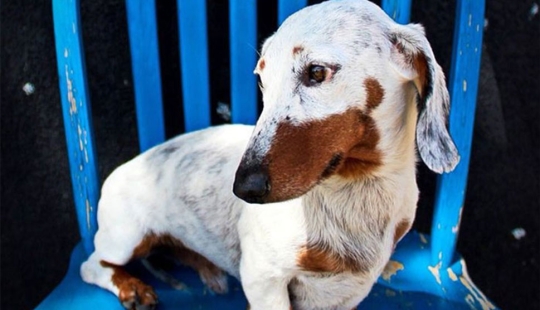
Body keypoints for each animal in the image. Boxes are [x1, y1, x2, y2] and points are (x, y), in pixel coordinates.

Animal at [81, 1, 460, 308]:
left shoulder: (353, 288)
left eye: (317, 72)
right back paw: (132, 288)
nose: (243, 188)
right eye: (262, 79)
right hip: (126, 237)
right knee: (92, 266)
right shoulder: (263, 278)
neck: (356, 190)